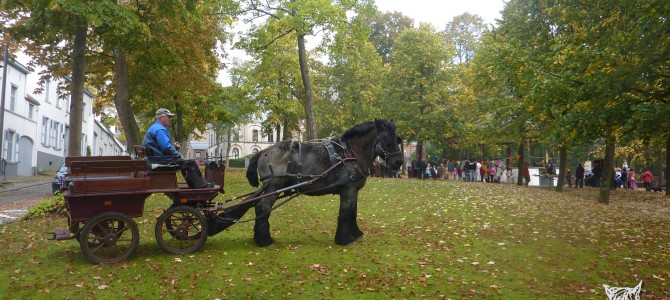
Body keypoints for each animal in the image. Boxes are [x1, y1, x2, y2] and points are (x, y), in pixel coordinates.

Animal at [245, 119, 404, 246]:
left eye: (397, 139)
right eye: (387, 139)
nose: (399, 162)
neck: (351, 154)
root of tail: (263, 151)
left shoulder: (354, 190)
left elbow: (353, 211)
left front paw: (356, 233)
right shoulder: (348, 189)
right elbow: (345, 213)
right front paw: (344, 239)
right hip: (273, 187)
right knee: (263, 207)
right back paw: (264, 240)